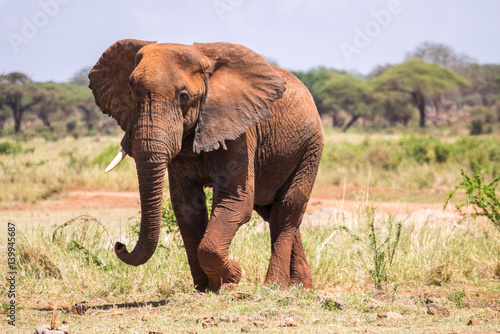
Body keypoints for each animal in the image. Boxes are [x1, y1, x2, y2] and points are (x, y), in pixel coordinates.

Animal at [89, 37, 324, 290]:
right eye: (132, 93)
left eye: (183, 96)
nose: (119, 245)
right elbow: (187, 206)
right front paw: (206, 288)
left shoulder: (239, 131)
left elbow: (235, 201)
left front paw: (232, 277)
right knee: (275, 213)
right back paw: (301, 286)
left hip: (310, 148)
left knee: (287, 209)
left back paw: (274, 287)